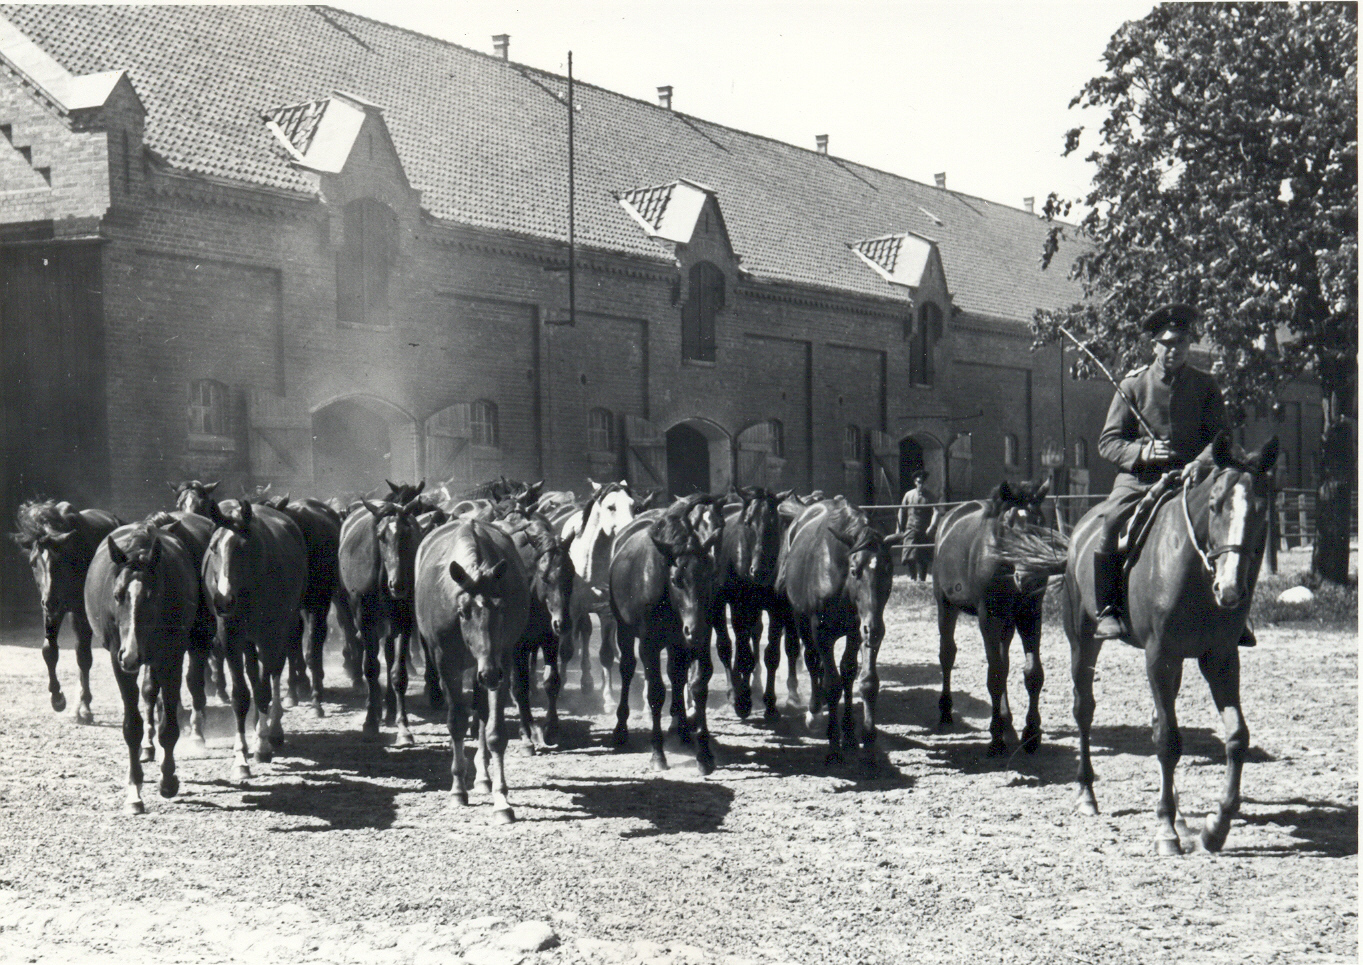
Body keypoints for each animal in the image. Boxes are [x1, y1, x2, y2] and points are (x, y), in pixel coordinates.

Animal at [932, 479, 1057, 757]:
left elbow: (1032, 673)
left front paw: (1031, 734)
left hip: (1007, 622)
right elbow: (996, 674)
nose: (1030, 576)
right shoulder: (988, 618)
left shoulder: (1030, 615)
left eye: (1041, 525)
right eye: (1009, 530)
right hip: (946, 605)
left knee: (1004, 660)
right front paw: (996, 738)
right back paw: (945, 711)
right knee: (947, 654)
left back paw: (1008, 722)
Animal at [1063, 433, 1275, 855]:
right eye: (1215, 505)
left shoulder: (1220, 659)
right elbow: (1168, 740)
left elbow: (1236, 736)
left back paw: (1179, 813)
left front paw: (1216, 827)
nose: (1230, 589)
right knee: (1084, 710)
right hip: (1083, 640)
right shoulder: (1159, 657)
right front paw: (1165, 829)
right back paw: (1087, 793)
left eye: (1261, 510)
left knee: (1160, 718)